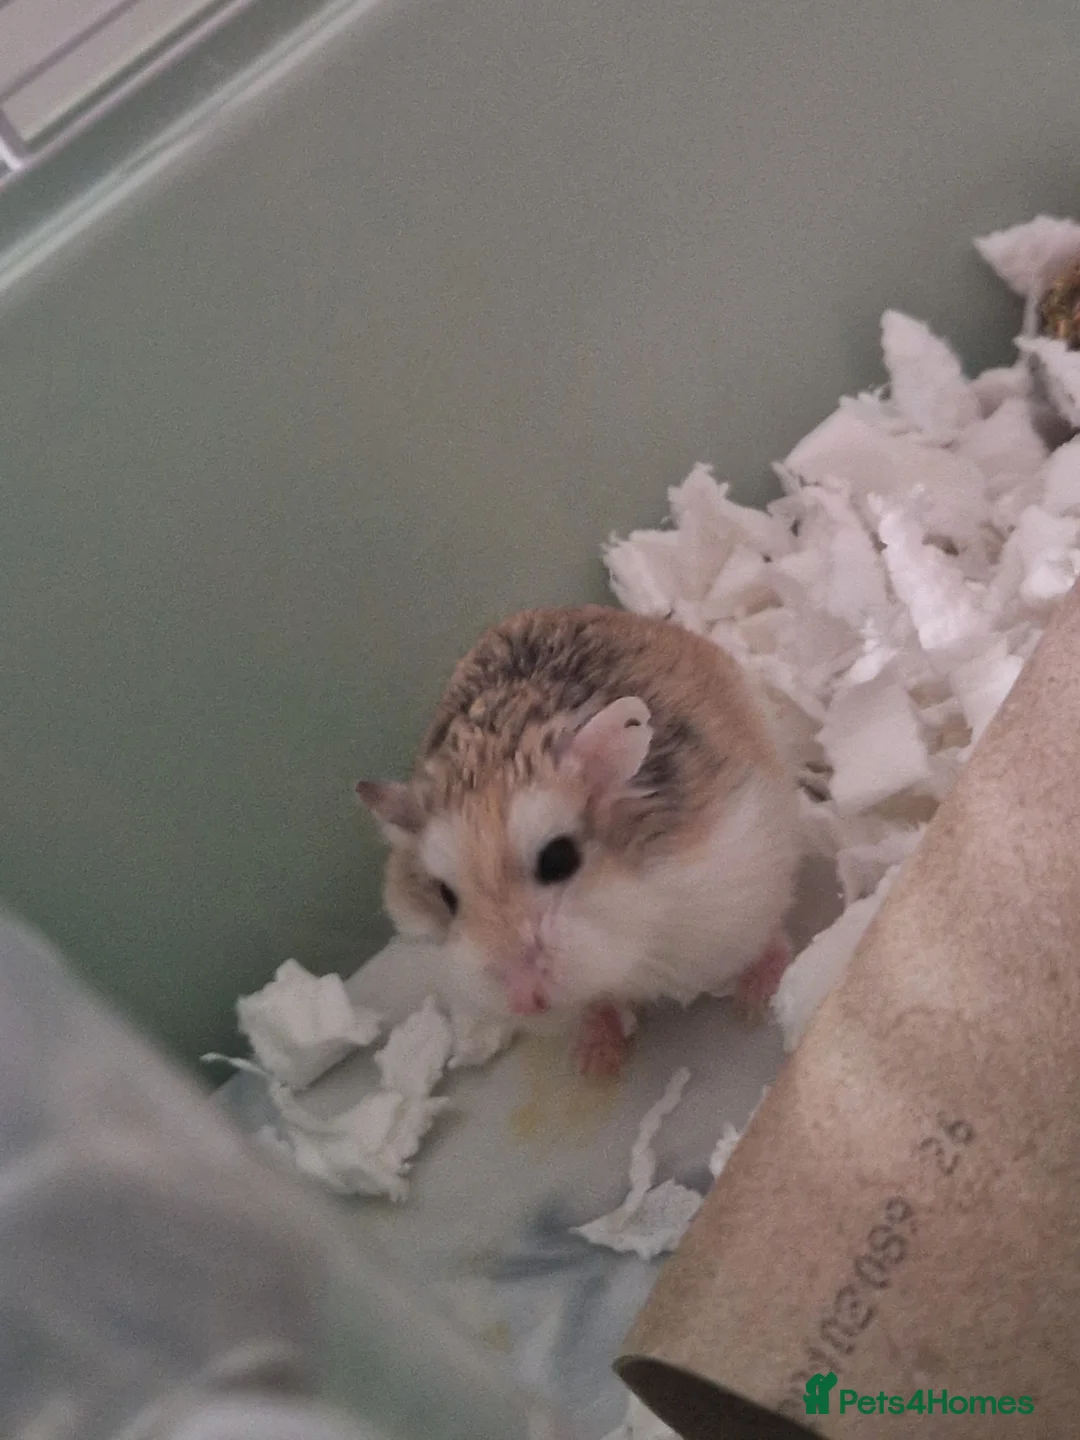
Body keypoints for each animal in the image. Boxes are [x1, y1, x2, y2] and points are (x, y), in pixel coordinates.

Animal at [357, 605, 802, 1079]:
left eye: (559, 858)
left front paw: (755, 1006)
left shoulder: (744, 883)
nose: (524, 1002)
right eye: (444, 896)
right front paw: (592, 1066)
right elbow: (597, 1005)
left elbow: (770, 936)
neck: (638, 931)